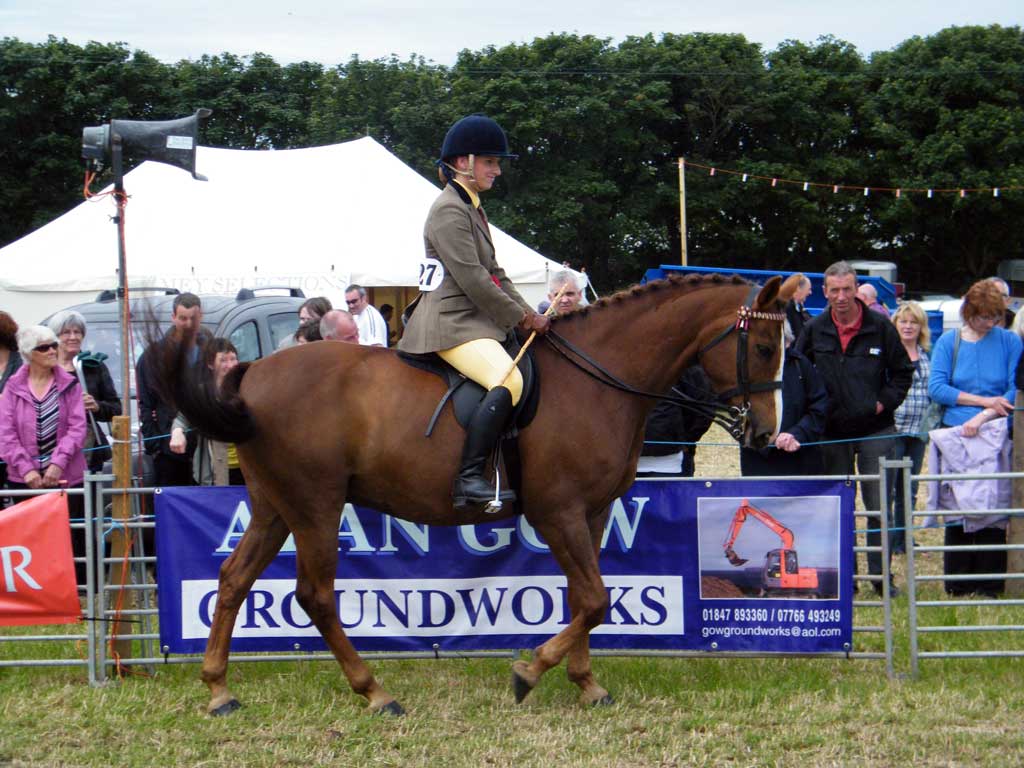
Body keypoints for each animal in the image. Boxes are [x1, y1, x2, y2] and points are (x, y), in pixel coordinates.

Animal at [151, 272, 794, 716]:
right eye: (764, 348)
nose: (765, 435)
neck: (597, 380)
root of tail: (251, 374)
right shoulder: (559, 511)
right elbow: (593, 599)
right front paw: (530, 673)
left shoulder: (591, 512)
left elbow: (586, 599)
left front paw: (586, 683)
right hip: (315, 505)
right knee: (315, 596)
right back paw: (374, 692)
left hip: (273, 507)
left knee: (233, 579)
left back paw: (218, 689)